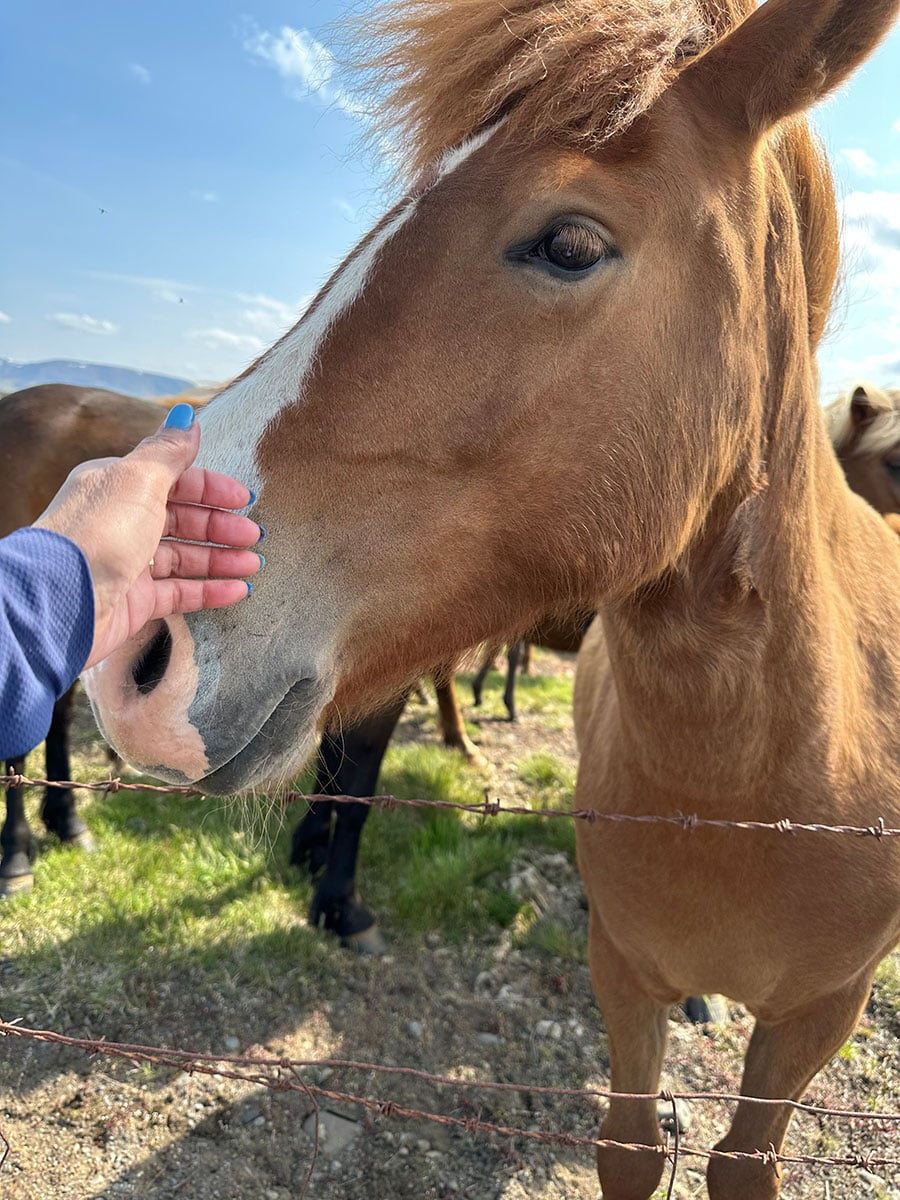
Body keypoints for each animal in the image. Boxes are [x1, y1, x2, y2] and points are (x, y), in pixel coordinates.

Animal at [84, 4, 900, 1195]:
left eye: (569, 244)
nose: (137, 654)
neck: (767, 793)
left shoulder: (820, 1016)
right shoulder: (623, 977)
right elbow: (627, 1144)